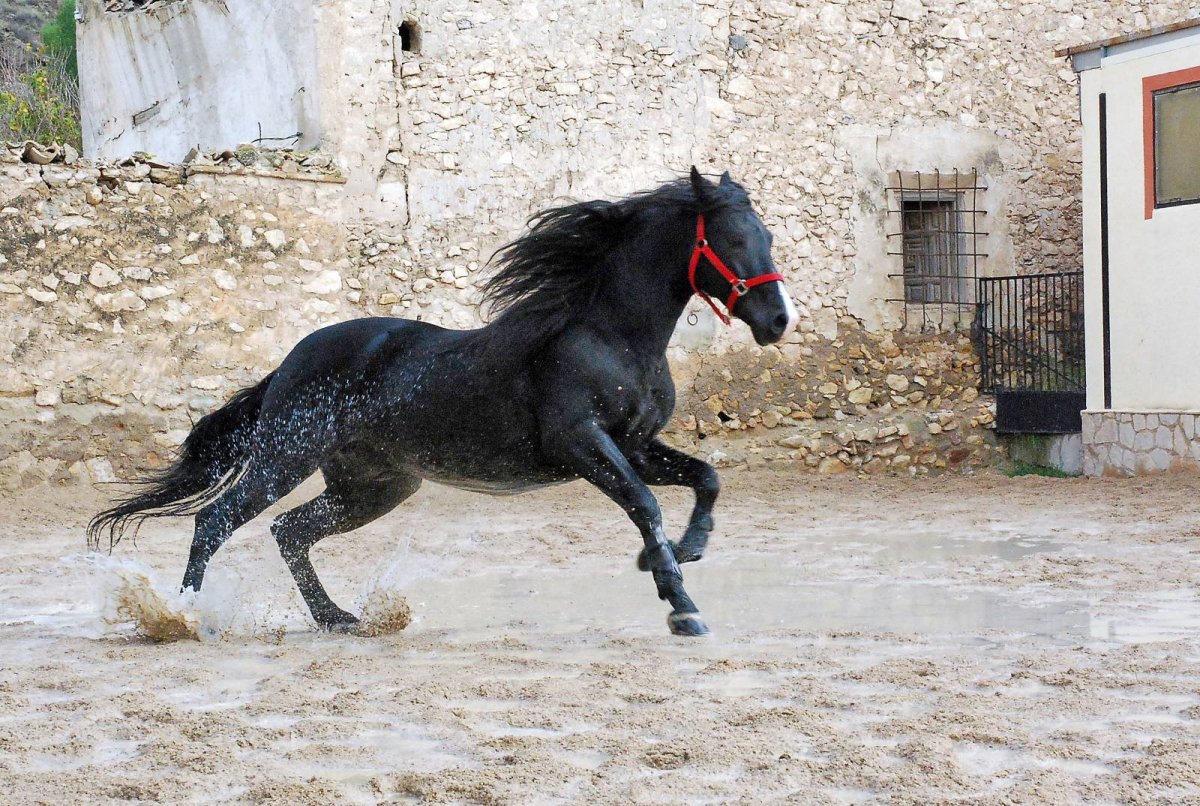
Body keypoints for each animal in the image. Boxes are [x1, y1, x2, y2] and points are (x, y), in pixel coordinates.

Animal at [88, 167, 798, 636]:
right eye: (733, 241)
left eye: (765, 234)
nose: (777, 321)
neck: (611, 337)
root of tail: (291, 362)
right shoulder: (585, 445)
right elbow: (646, 504)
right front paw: (679, 601)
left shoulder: (636, 445)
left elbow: (706, 478)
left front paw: (683, 550)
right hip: (284, 458)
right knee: (216, 523)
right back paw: (185, 617)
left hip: (374, 486)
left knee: (289, 532)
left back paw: (340, 618)